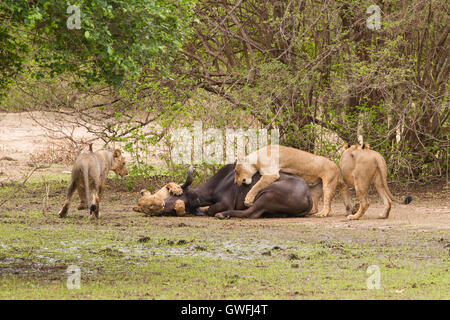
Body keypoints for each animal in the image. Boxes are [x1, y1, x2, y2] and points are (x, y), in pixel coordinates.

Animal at [162, 164, 312, 219]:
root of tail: (307, 193)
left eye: (176, 195)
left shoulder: (225, 203)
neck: (220, 182)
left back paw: (222, 215)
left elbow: (210, 209)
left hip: (267, 194)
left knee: (251, 213)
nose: (162, 204)